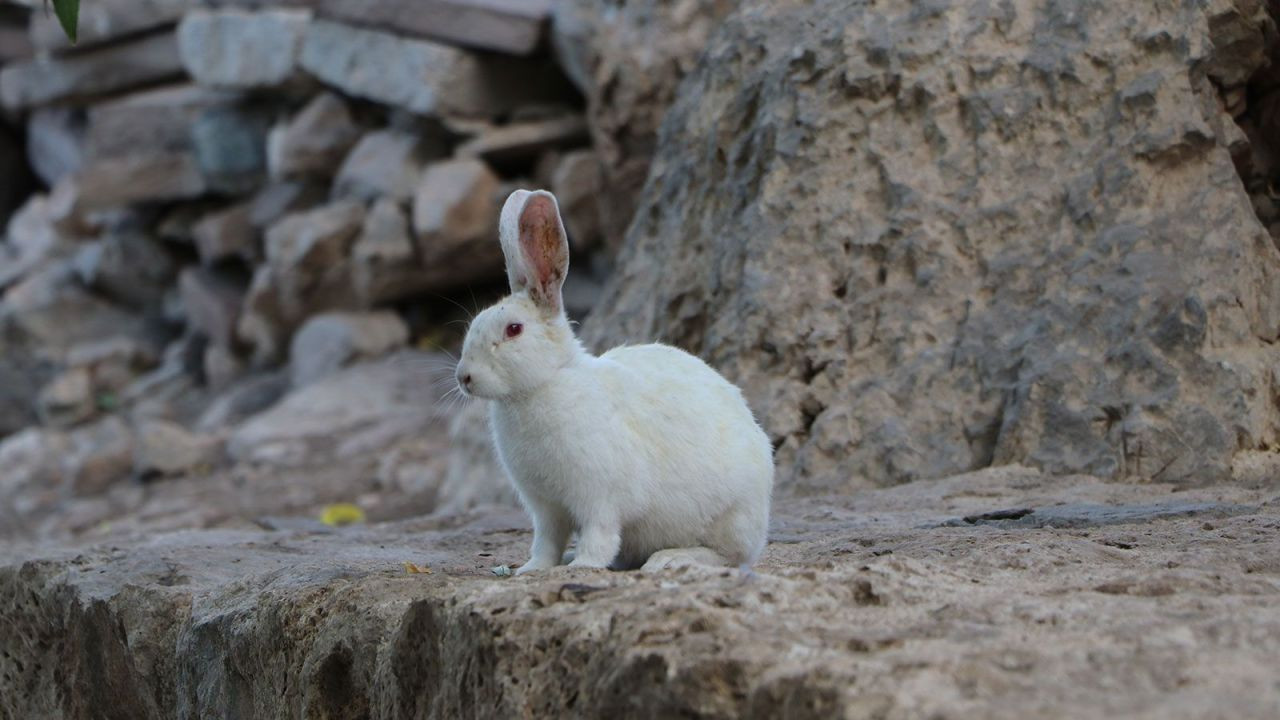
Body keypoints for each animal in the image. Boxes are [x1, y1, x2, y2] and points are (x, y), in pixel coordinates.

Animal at [453, 188, 768, 568]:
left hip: (729, 518)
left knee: (726, 557)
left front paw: (585, 565)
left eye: (513, 329)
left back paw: (670, 559)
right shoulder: (546, 508)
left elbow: (599, 533)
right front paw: (534, 569)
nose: (464, 377)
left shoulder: (599, 496)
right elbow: (546, 541)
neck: (544, 385)